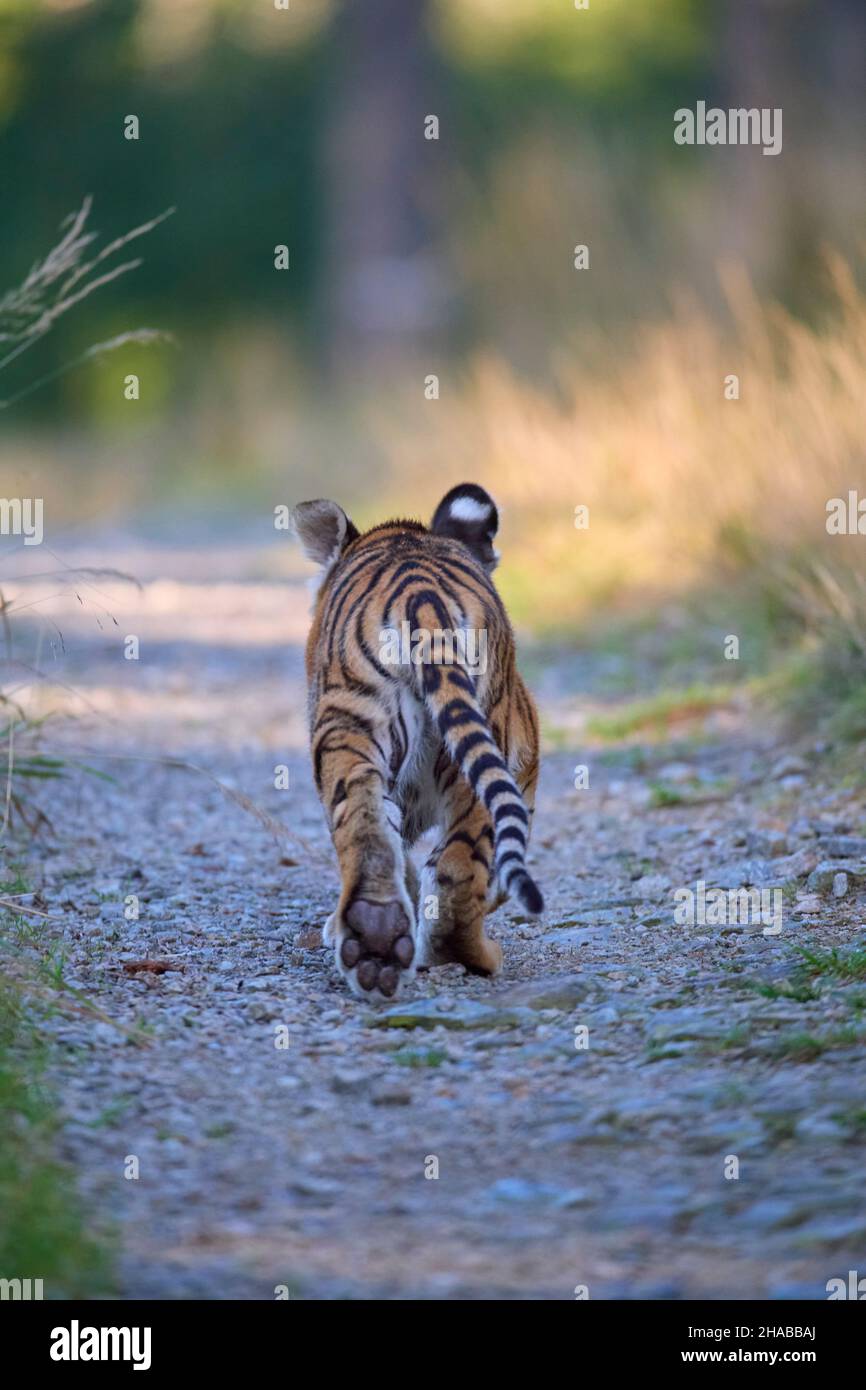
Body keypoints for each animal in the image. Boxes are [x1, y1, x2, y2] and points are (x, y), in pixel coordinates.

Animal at [291, 482, 543, 1001]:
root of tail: (419, 593)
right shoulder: (525, 767)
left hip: (349, 730)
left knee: (368, 831)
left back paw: (375, 942)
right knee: (459, 866)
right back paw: (468, 957)